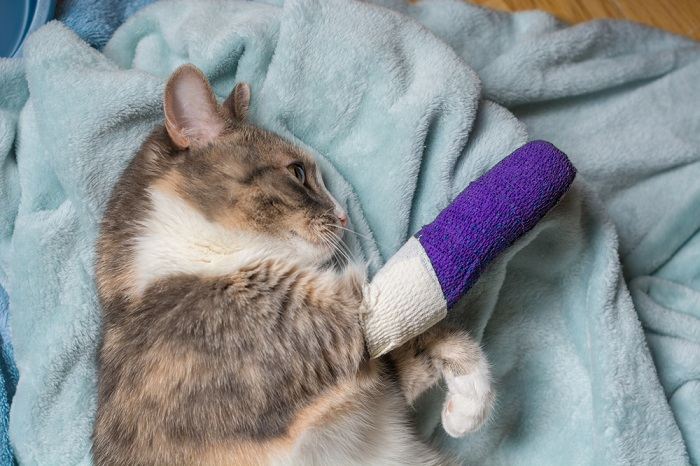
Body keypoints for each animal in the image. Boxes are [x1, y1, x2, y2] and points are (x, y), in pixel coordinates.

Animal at [93, 63, 492, 464]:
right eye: (298, 172)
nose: (344, 215)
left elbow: (424, 340)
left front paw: (468, 402)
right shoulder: (327, 334)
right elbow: (419, 320)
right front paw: (471, 402)